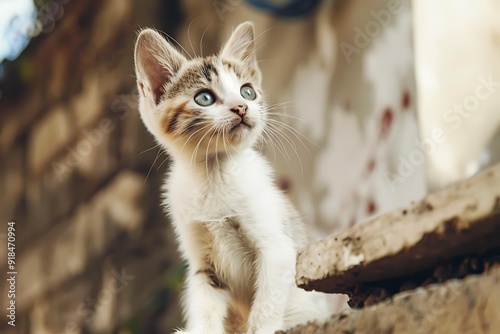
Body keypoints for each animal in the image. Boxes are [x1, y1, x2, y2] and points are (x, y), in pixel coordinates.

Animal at [133, 22, 330, 332]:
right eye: (204, 98)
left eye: (247, 92)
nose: (242, 107)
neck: (214, 175)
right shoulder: (203, 266)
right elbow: (204, 306)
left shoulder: (276, 247)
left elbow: (266, 304)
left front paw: (262, 326)